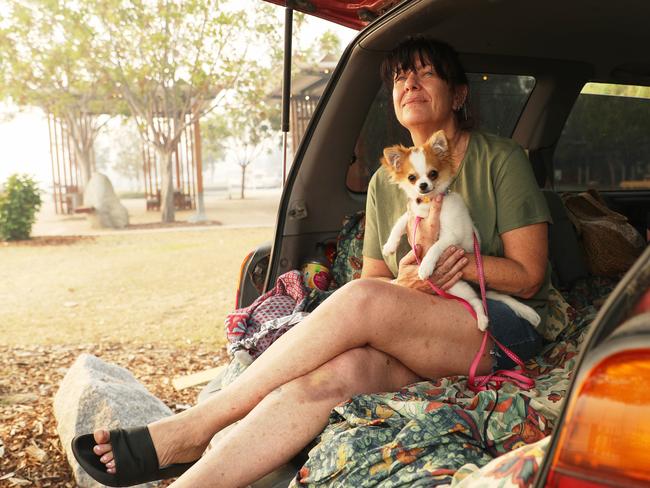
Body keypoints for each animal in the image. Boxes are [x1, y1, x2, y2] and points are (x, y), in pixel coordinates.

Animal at [380, 129, 536, 332]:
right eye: (411, 178)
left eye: (433, 174)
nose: (423, 185)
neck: (429, 204)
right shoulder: (414, 215)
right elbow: (399, 223)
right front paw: (390, 246)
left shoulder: (450, 235)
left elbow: (434, 248)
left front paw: (425, 266)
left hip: (461, 288)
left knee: (477, 301)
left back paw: (482, 320)